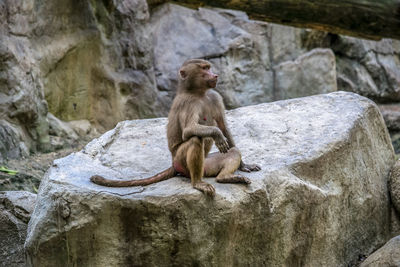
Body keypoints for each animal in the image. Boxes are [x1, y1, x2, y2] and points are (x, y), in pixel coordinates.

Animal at [90, 59, 260, 197]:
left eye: (209, 67)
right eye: (204, 68)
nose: (215, 75)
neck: (198, 93)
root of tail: (173, 164)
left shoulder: (215, 97)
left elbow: (224, 127)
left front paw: (244, 165)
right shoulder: (188, 103)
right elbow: (190, 130)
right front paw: (217, 134)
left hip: (207, 165)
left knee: (233, 152)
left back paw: (226, 177)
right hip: (180, 160)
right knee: (195, 140)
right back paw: (198, 183)